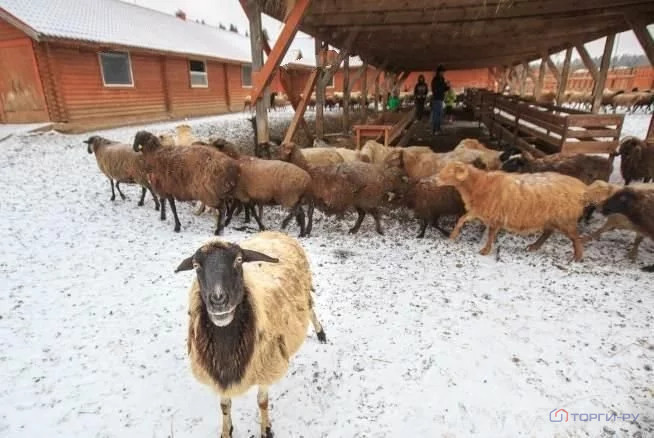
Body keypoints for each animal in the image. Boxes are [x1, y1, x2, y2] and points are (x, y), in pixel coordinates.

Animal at [176, 229, 326, 438]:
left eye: (239, 260)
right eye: (196, 266)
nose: (218, 300)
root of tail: (275, 232)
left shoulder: (266, 366)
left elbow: (262, 402)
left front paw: (266, 429)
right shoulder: (219, 375)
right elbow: (224, 406)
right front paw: (227, 431)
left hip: (304, 290)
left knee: (311, 309)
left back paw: (321, 333)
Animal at [436, 163, 608, 262]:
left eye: (451, 171)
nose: (434, 180)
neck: (480, 184)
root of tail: (583, 189)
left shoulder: (495, 216)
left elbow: (491, 234)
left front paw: (485, 250)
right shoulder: (480, 211)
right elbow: (462, 219)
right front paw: (452, 236)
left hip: (565, 219)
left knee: (575, 237)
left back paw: (577, 257)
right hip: (552, 218)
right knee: (548, 232)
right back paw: (533, 247)